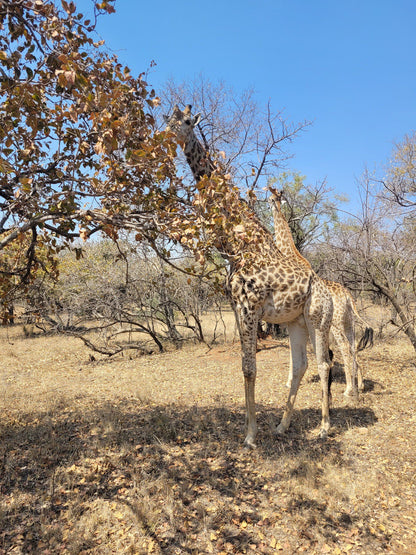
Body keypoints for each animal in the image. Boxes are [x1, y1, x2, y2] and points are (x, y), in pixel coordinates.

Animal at [165, 106, 334, 450]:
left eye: (186, 121)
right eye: (167, 118)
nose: (169, 134)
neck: (237, 244)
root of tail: (332, 295)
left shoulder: (249, 306)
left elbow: (249, 368)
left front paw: (250, 436)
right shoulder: (236, 305)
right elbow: (245, 367)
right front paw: (250, 428)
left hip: (318, 319)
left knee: (323, 364)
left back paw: (324, 428)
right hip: (296, 322)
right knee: (300, 365)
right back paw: (282, 426)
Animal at [268, 187, 376, 396]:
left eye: (269, 198)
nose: (268, 205)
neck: (291, 254)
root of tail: (349, 297)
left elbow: (293, 351)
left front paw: (289, 382)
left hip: (335, 323)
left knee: (345, 348)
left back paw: (348, 390)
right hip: (348, 323)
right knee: (353, 348)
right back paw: (359, 385)